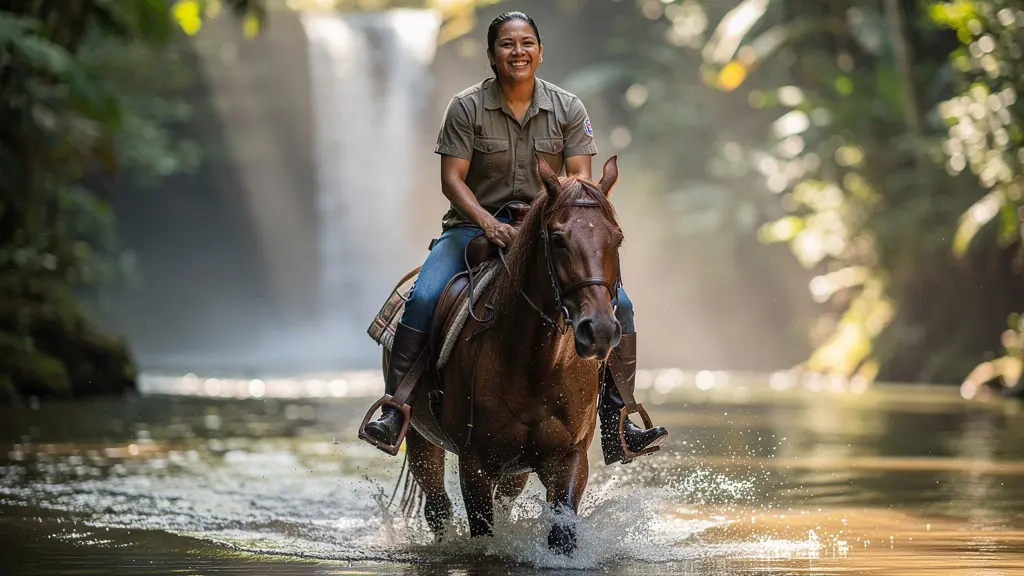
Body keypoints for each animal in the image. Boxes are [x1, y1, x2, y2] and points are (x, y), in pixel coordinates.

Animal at [378, 155, 626, 555]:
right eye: (558, 239)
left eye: (617, 238)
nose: (600, 330)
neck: (537, 365)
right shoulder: (475, 463)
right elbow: (481, 527)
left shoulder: (570, 458)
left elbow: (562, 534)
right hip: (419, 438)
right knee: (438, 508)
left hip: (517, 469)